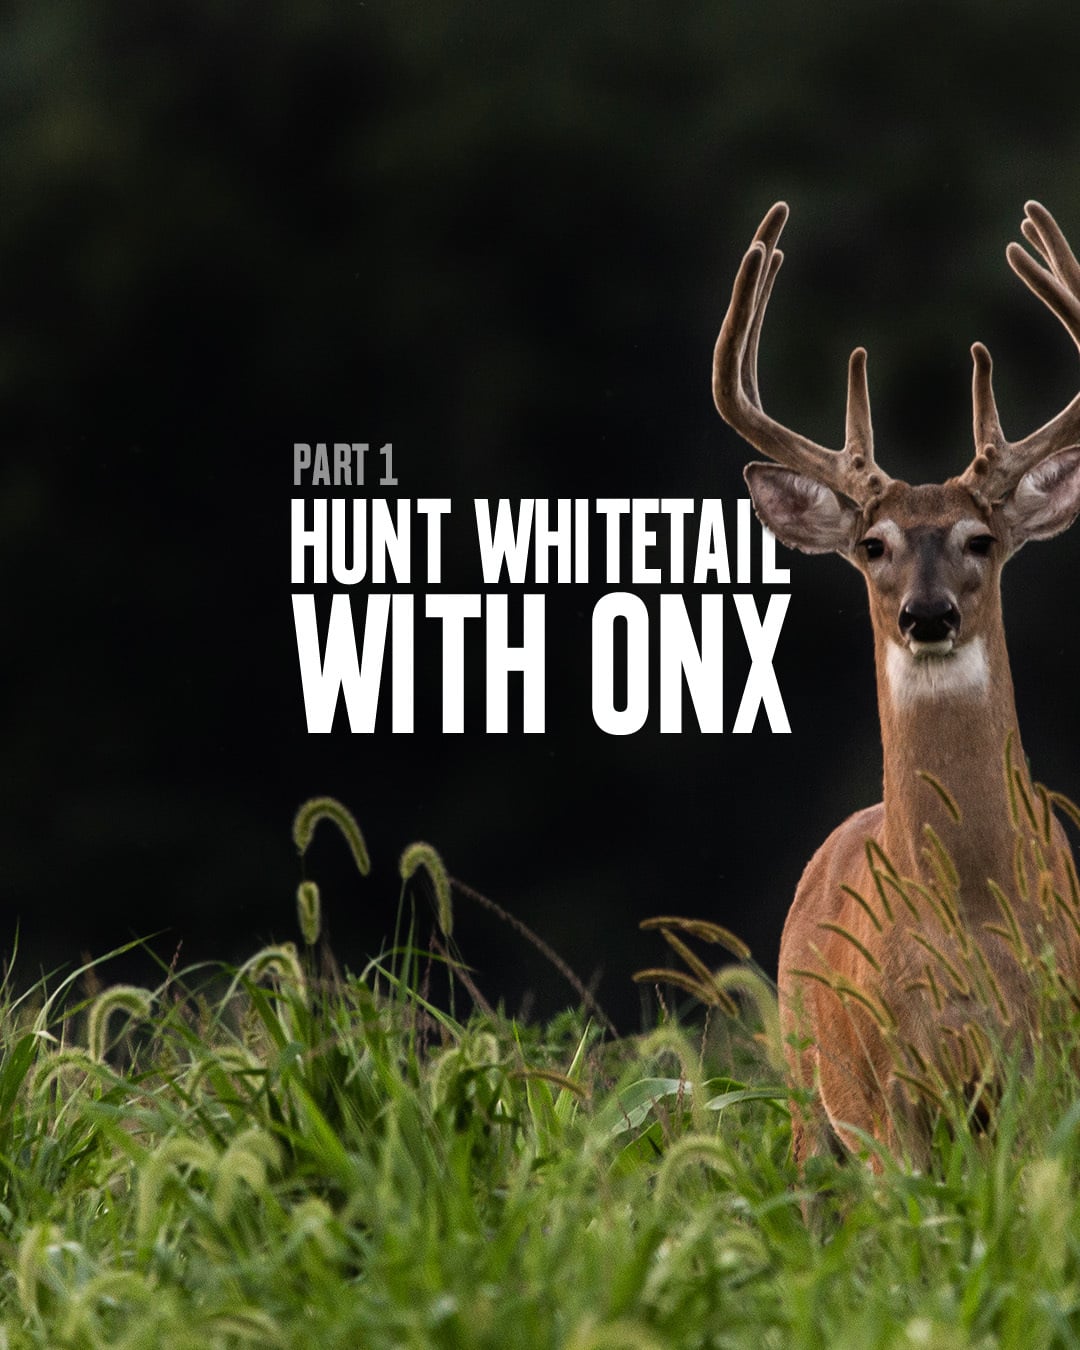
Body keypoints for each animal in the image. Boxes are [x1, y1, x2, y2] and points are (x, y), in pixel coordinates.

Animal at [712, 201, 1080, 1170]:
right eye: (873, 544)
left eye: (979, 539)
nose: (927, 614)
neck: (968, 912)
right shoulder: (890, 1102)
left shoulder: (1048, 1071)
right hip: (810, 1099)